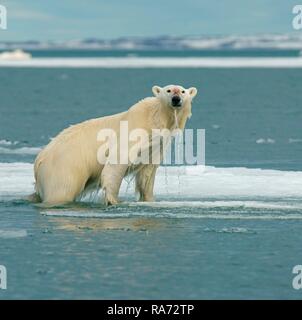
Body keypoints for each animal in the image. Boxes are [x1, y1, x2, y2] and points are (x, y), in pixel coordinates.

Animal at [29, 84, 197, 208]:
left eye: (182, 91)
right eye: (168, 90)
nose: (176, 99)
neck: (153, 119)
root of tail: (39, 161)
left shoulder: (154, 145)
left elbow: (147, 173)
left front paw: (149, 199)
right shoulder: (132, 133)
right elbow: (116, 163)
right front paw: (114, 200)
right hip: (65, 168)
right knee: (62, 191)